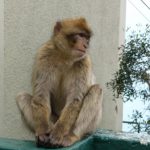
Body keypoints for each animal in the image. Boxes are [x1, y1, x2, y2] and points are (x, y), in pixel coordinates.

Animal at [16, 17, 103, 148]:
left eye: (86, 37)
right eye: (80, 35)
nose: (86, 44)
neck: (64, 57)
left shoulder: (84, 62)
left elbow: (75, 100)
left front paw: (58, 134)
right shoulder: (43, 55)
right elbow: (41, 96)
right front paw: (42, 132)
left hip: (91, 126)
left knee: (96, 90)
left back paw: (71, 136)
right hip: (54, 117)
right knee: (22, 97)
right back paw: (47, 132)